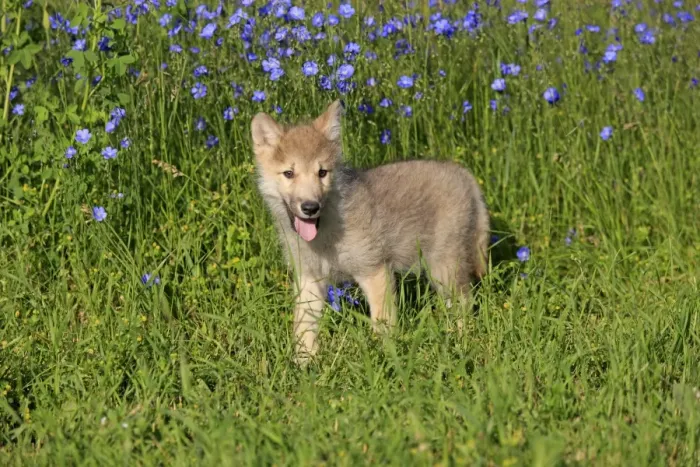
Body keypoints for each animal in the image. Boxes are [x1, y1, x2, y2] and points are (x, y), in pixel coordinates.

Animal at [251, 101, 489, 362]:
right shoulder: (309, 279)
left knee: (464, 306)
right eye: (289, 173)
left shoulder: (374, 271)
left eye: (322, 173)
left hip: (444, 269)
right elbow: (304, 330)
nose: (310, 207)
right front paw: (304, 366)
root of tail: (464, 175)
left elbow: (382, 327)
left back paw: (461, 345)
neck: (325, 234)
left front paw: (383, 363)